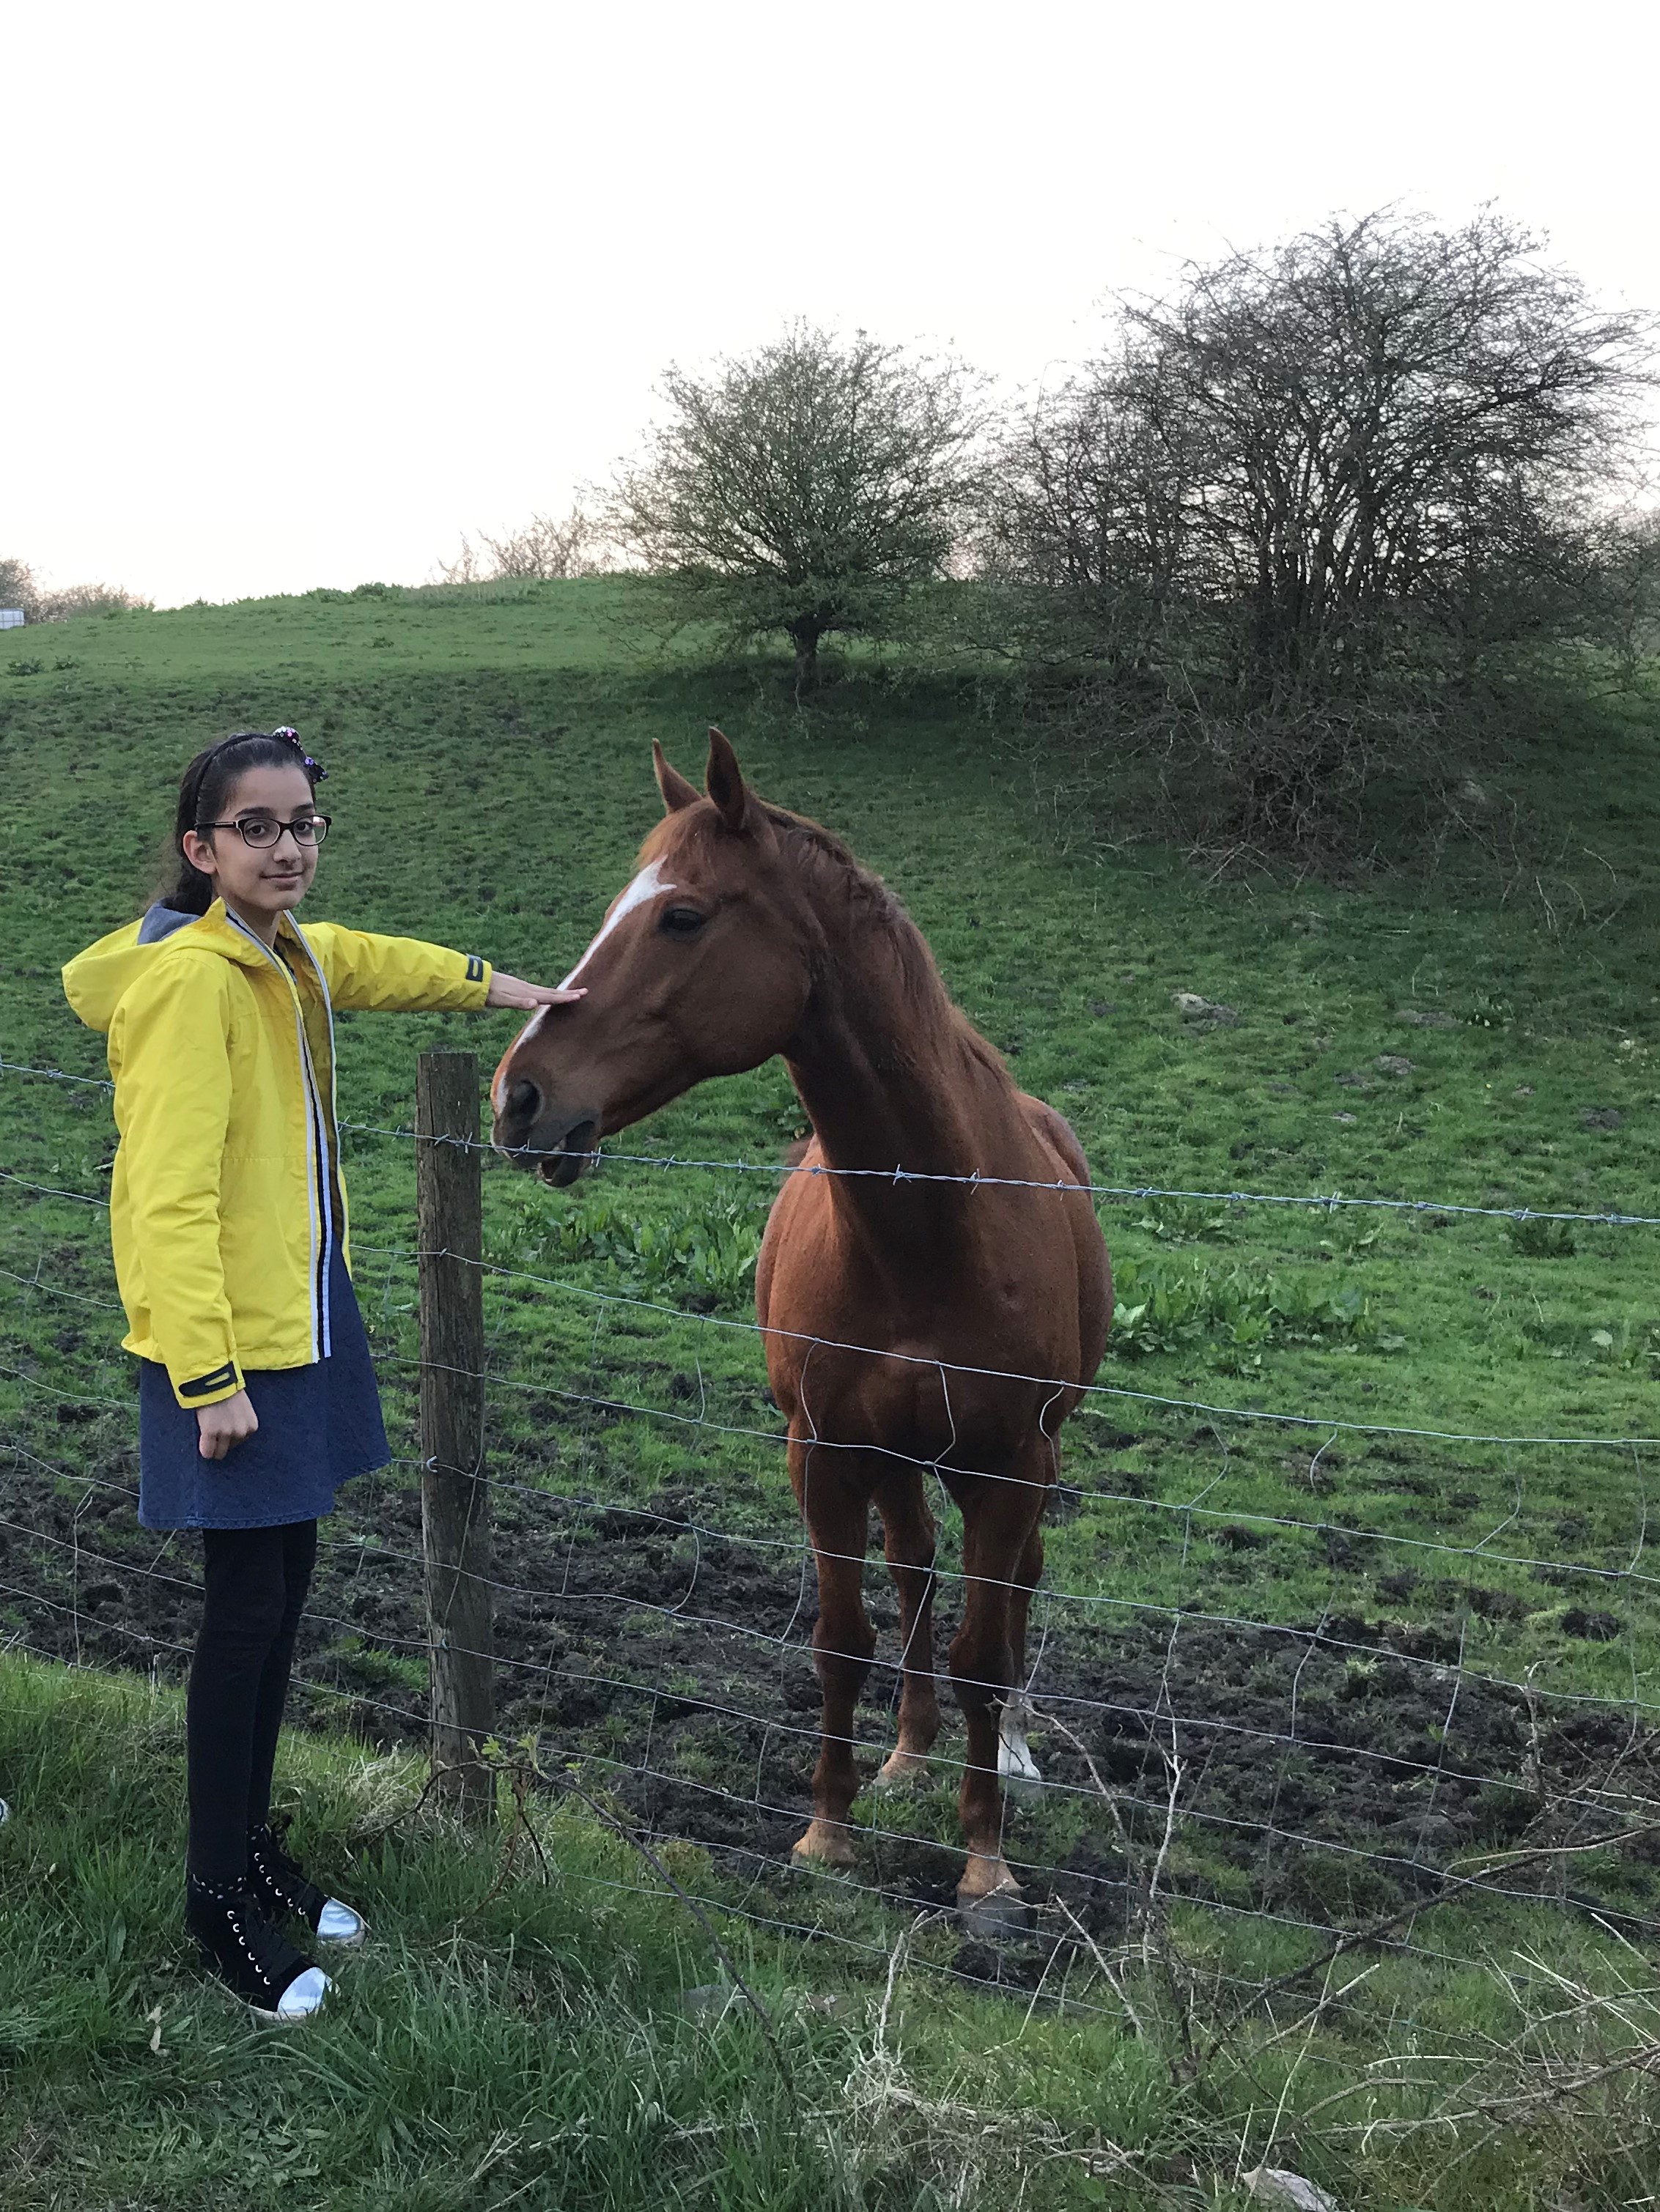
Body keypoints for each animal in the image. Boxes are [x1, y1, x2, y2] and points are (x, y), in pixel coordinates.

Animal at [492, 729, 1112, 1914]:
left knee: (1010, 1589)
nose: (519, 1096)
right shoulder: (823, 1452)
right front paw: (830, 1830)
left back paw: (1007, 1750)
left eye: (683, 916)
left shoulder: (1009, 1463)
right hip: (898, 1458)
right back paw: (908, 1753)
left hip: (1023, 1458)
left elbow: (980, 1647)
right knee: (914, 1570)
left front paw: (985, 1860)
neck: (930, 1226)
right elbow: (841, 1636)